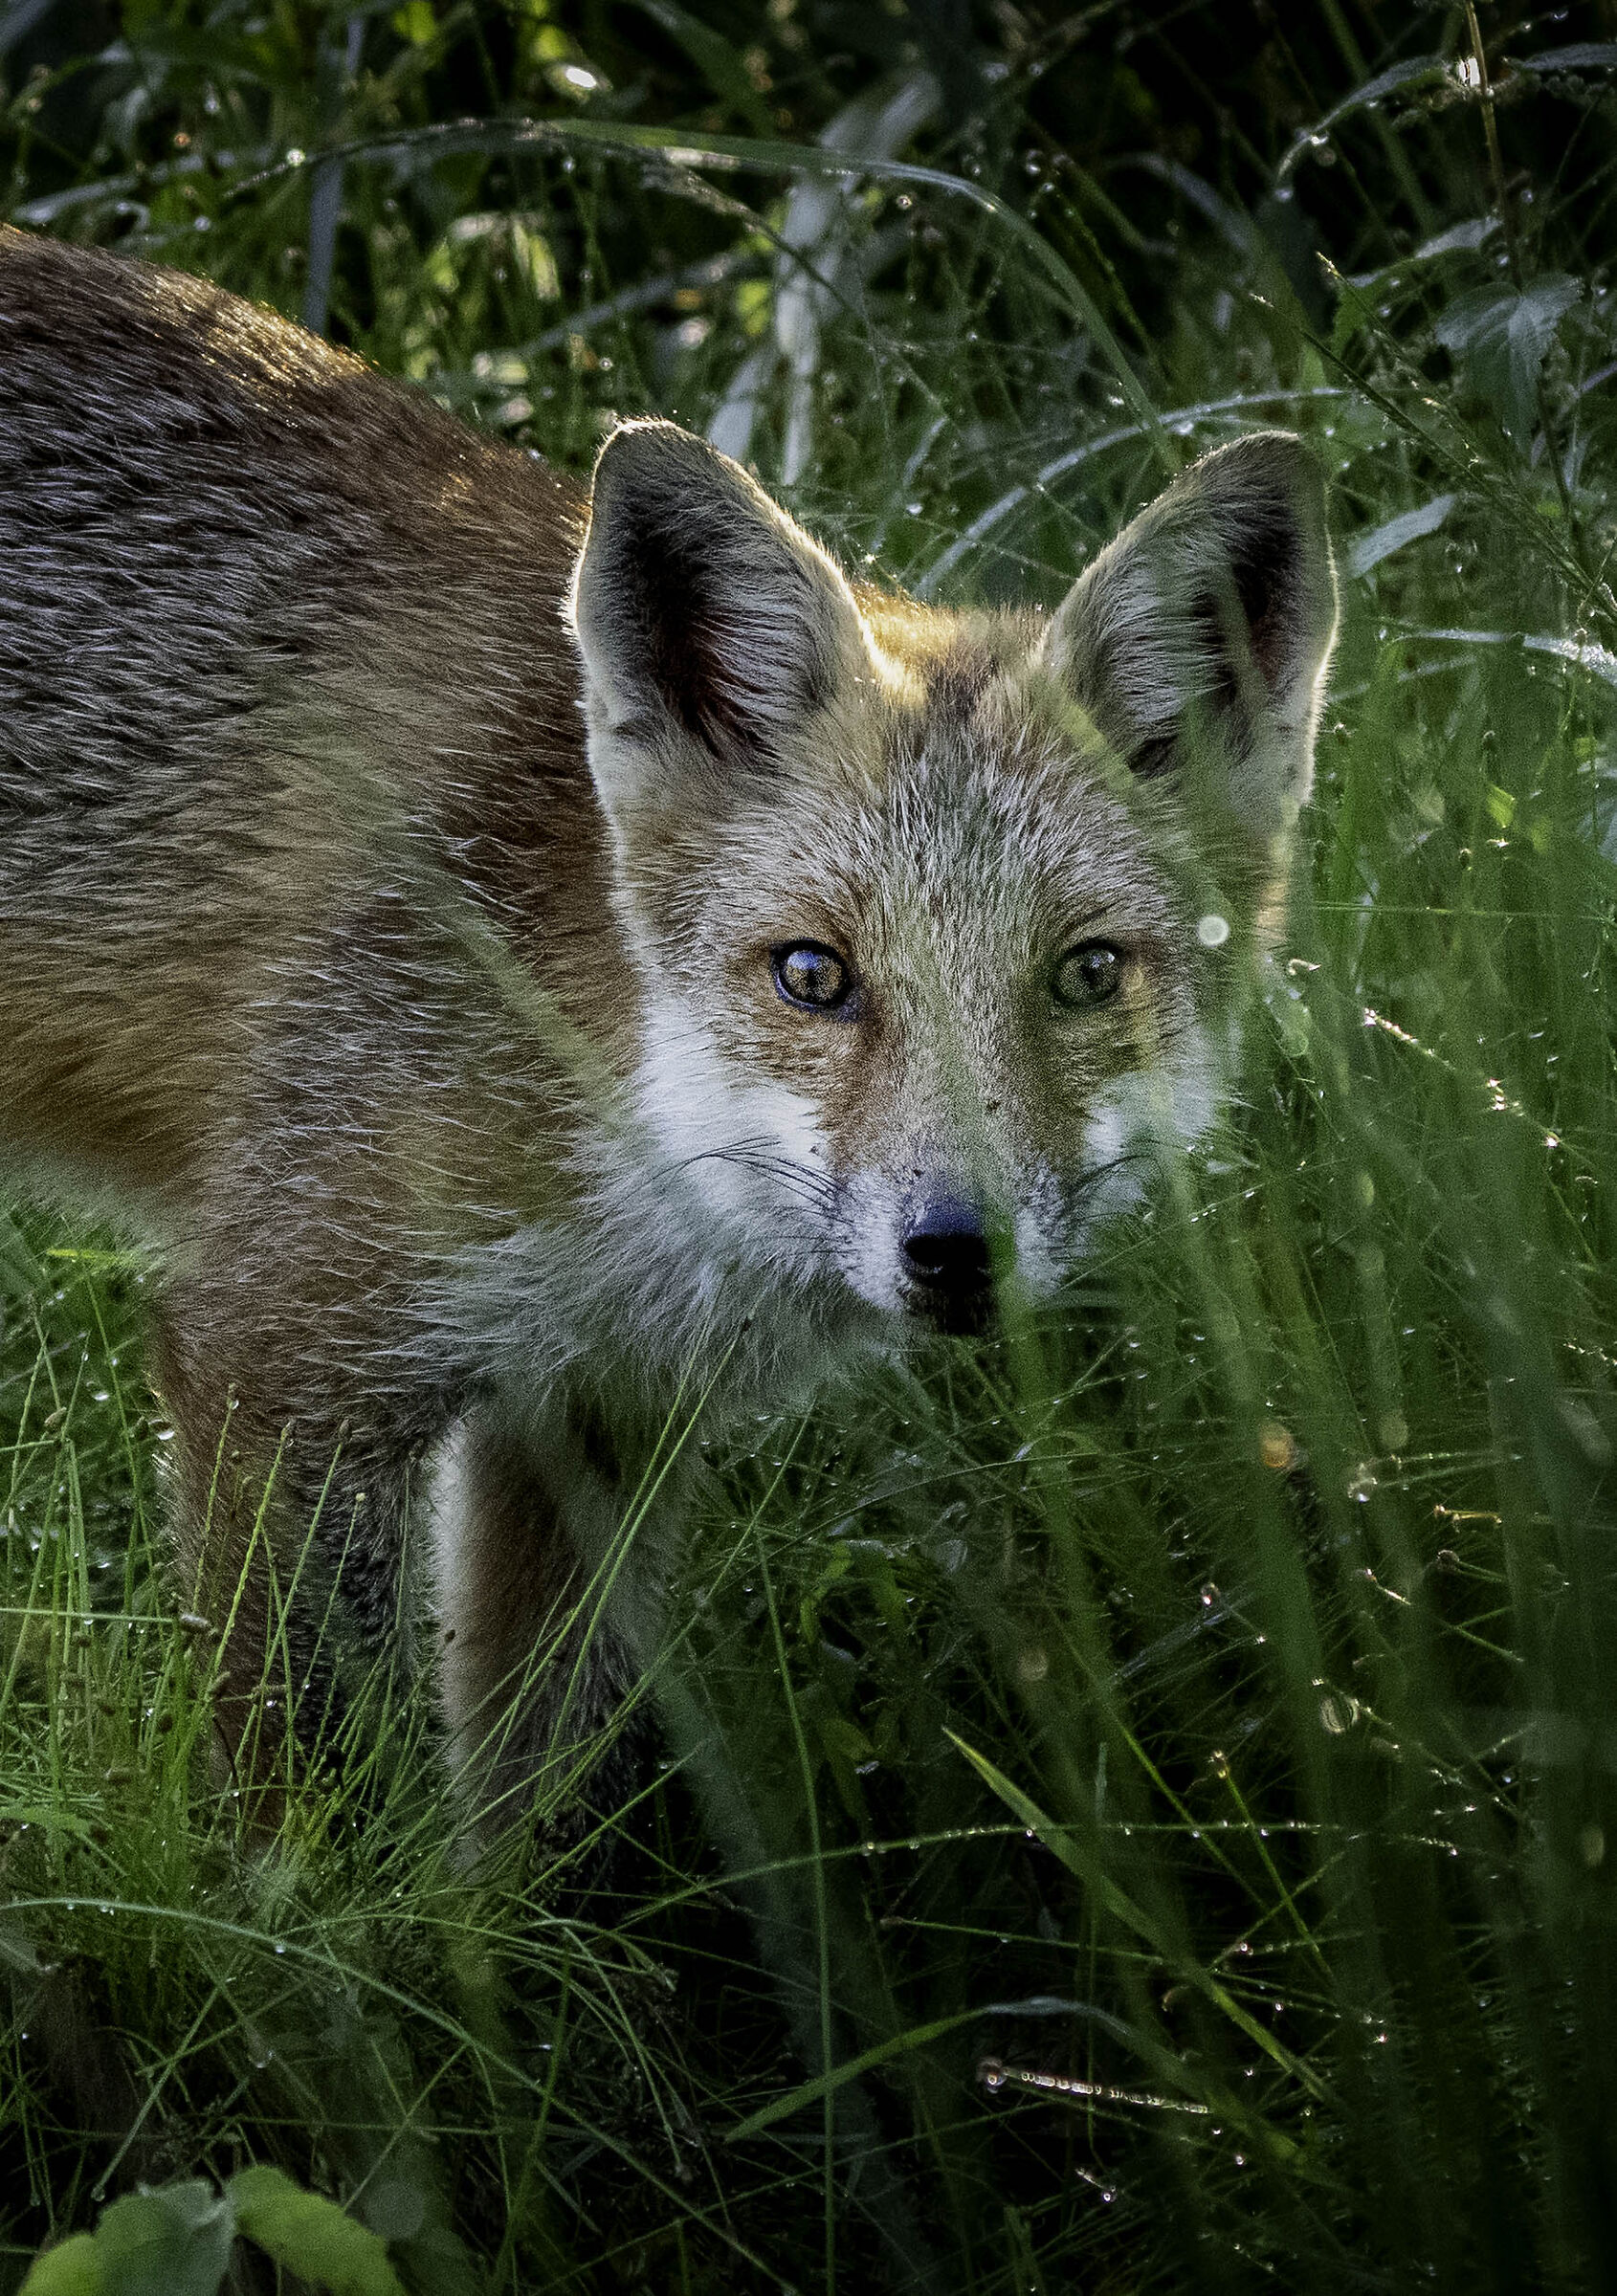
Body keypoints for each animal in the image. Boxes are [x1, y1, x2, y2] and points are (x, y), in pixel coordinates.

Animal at [0, 226, 1337, 1826]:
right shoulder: (283, 1353)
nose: (959, 1250)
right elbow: (317, 1810)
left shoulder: (595, 1420)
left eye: (1083, 975)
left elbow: (546, 1814)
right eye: (811, 975)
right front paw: (310, 1908)